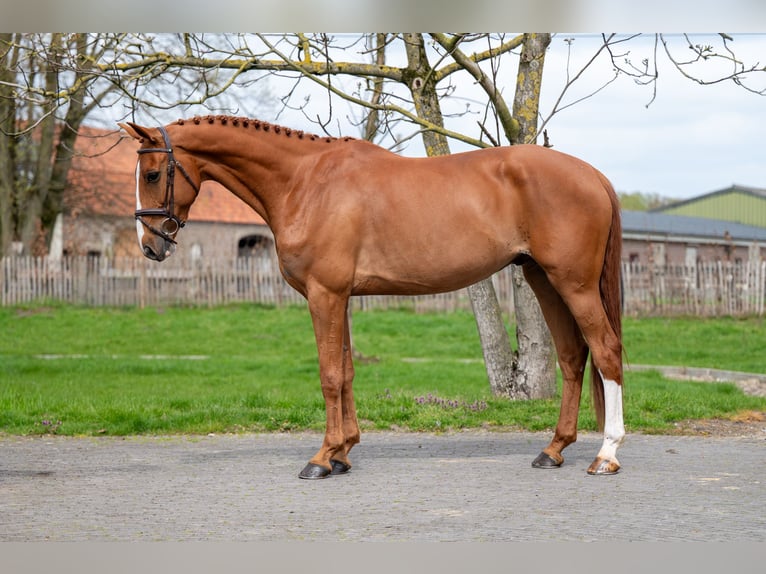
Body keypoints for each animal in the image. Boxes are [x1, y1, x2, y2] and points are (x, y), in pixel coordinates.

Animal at [120, 115, 625, 478]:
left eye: (153, 173)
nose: (150, 246)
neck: (306, 181)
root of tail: (593, 174)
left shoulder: (324, 295)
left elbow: (328, 375)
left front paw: (321, 459)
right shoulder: (339, 296)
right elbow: (345, 372)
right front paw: (343, 453)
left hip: (574, 284)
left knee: (606, 352)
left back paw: (606, 455)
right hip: (544, 280)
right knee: (572, 357)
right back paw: (553, 450)